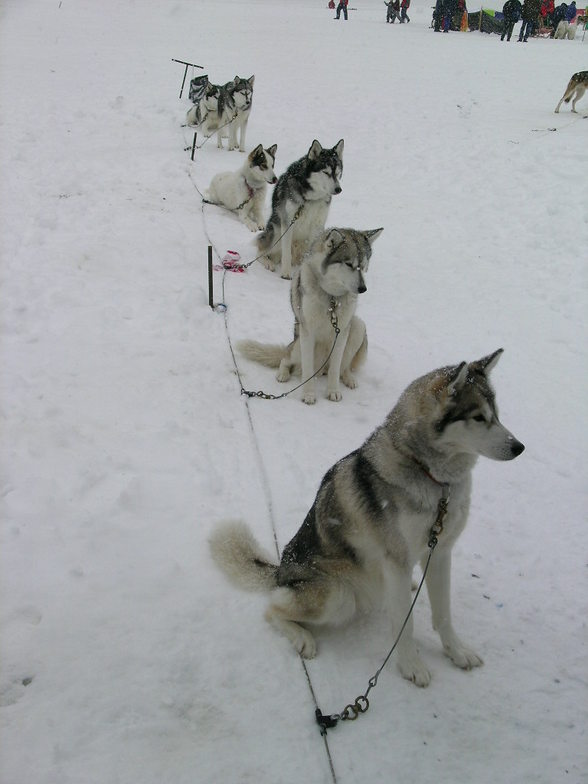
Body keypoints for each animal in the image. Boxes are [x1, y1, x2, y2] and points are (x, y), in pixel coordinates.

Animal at [210, 350, 524, 688]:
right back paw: (303, 638)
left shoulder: (440, 552)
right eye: (478, 417)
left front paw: (457, 652)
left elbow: (443, 614)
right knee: (272, 610)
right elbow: (405, 624)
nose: (519, 447)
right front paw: (411, 665)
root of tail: (280, 570)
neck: (435, 480)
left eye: (496, 414)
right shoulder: (397, 560)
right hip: (338, 596)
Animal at [238, 224, 382, 402]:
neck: (331, 298)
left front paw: (333, 391)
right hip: (298, 345)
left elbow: (336, 369)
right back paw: (283, 374)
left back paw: (348, 378)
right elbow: (307, 368)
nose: (363, 288)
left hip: (357, 327)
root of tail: (322, 368)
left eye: (364, 266)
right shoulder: (308, 332)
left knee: (341, 367)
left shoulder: (341, 333)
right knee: (286, 359)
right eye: (349, 264)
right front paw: (308, 394)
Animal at [255, 140, 342, 278]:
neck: (310, 198)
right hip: (277, 233)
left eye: (338, 173)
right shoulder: (288, 223)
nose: (338, 189)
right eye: (326, 172)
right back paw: (268, 263)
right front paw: (286, 274)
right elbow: (286, 254)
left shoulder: (317, 226)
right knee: (260, 252)